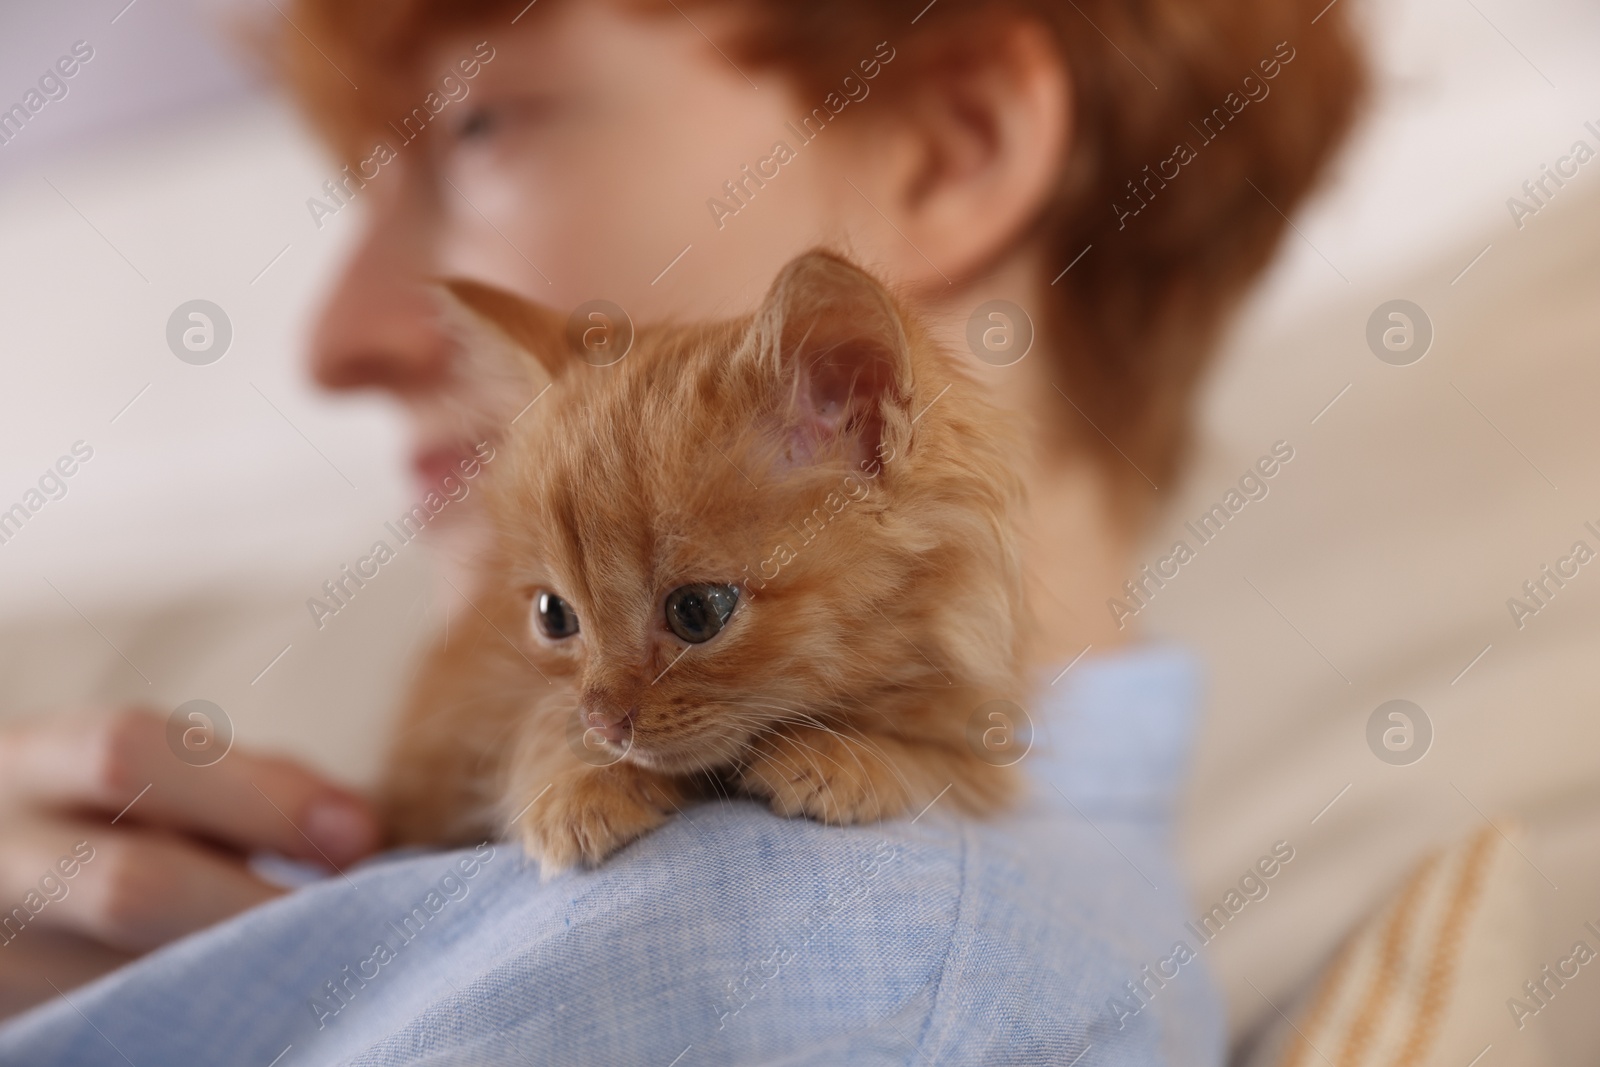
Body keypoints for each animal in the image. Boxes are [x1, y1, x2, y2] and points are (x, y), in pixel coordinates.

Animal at [380, 252, 1024, 876]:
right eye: (553, 616)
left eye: (698, 612)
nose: (602, 722)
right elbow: (539, 719)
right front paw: (578, 782)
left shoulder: (990, 729)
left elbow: (953, 767)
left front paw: (850, 753)